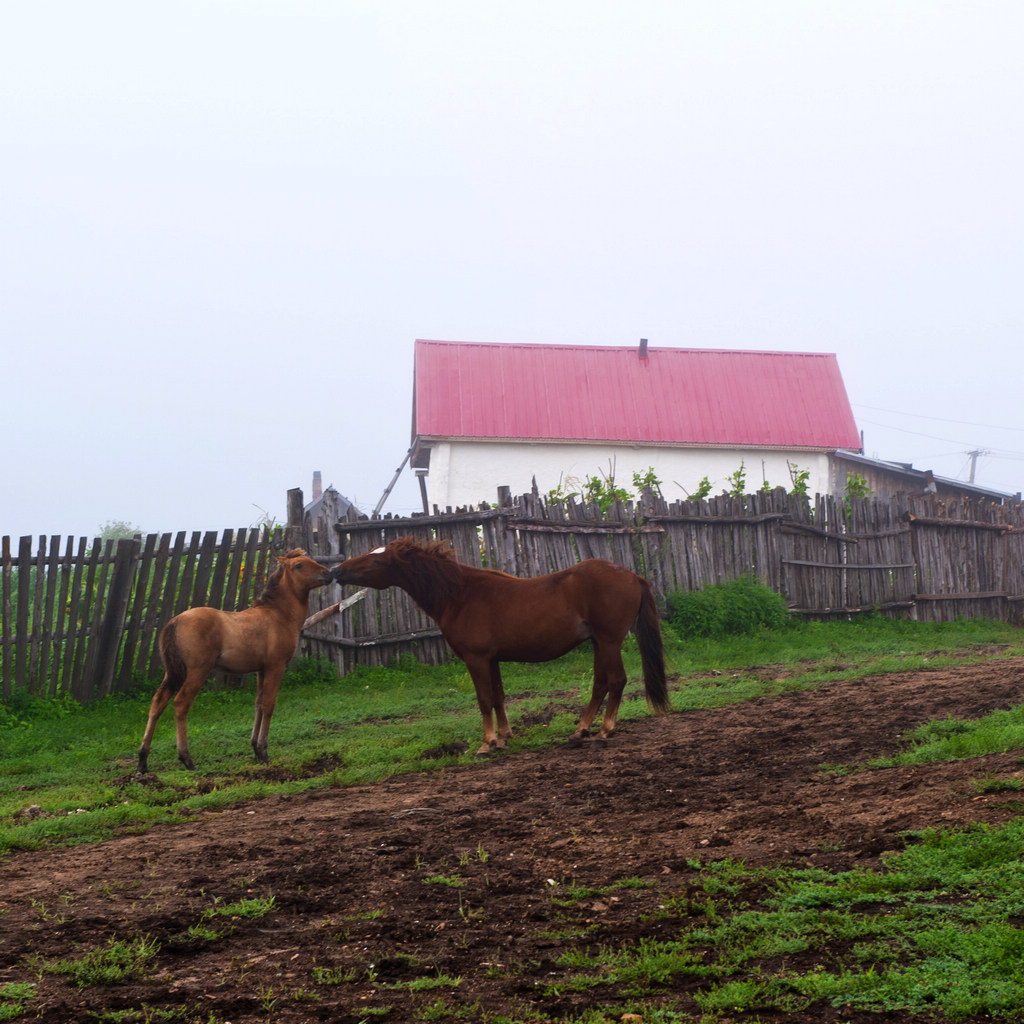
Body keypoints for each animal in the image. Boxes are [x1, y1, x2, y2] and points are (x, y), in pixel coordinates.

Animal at [137, 548, 331, 770]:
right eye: (299, 565)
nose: (329, 574)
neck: (278, 615)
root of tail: (175, 621)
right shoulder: (276, 666)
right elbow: (269, 704)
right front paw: (264, 751)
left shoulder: (261, 670)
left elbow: (258, 704)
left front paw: (255, 749)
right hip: (197, 671)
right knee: (181, 703)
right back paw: (186, 758)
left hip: (173, 672)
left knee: (158, 702)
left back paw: (142, 760)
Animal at [331, 540, 671, 757]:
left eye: (377, 560)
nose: (337, 571)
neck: (460, 595)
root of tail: (632, 575)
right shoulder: (492, 660)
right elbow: (498, 696)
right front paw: (505, 738)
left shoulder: (476, 659)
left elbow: (484, 700)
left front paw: (486, 744)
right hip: (598, 643)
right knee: (599, 684)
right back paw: (579, 732)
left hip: (610, 641)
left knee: (616, 681)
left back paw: (603, 733)